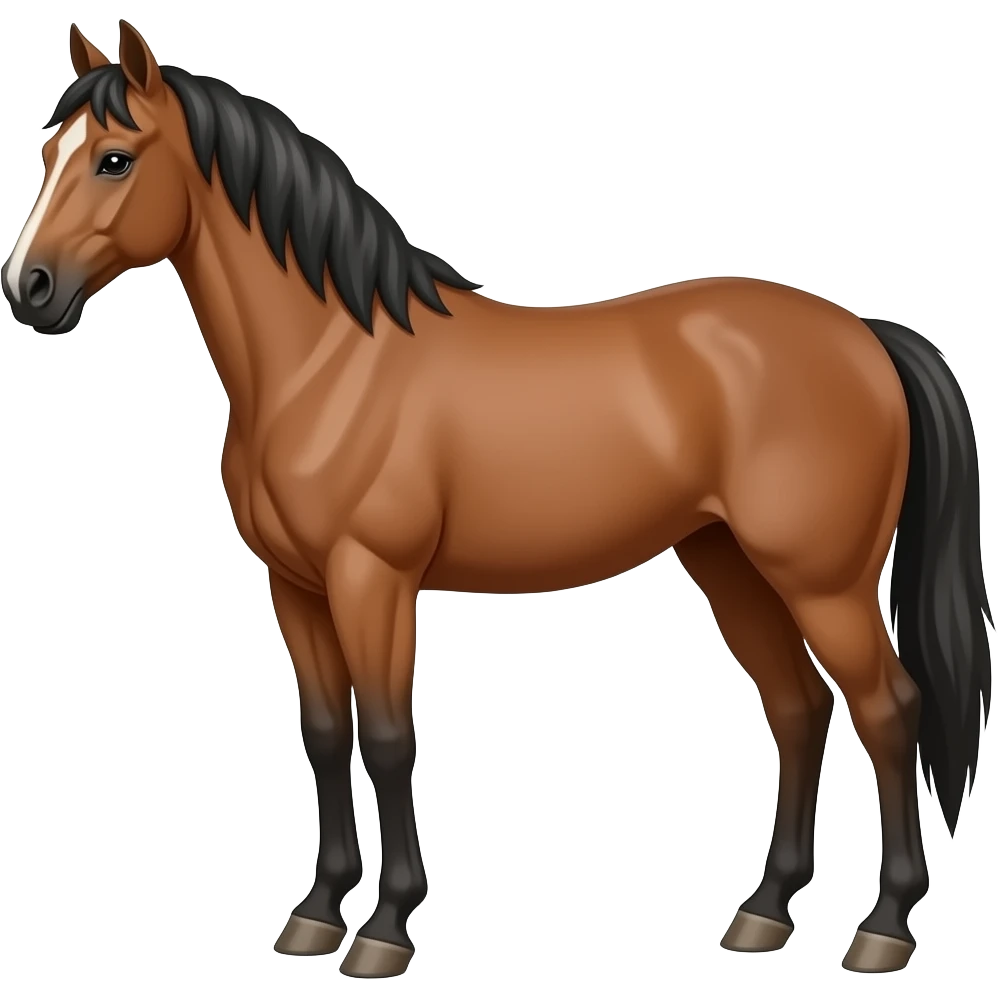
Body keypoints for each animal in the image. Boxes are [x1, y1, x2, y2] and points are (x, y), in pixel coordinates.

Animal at [3, 19, 991, 979]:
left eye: (115, 159)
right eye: (46, 152)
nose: (29, 289)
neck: (329, 361)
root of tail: (864, 335)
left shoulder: (373, 580)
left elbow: (387, 735)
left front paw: (385, 930)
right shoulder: (296, 587)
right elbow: (324, 735)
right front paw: (316, 914)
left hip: (822, 581)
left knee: (887, 709)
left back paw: (883, 928)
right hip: (730, 564)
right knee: (798, 709)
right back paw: (763, 911)